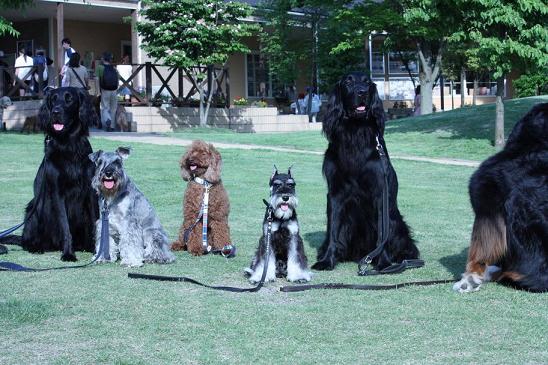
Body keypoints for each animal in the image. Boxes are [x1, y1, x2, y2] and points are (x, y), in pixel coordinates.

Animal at [1, 87, 98, 258]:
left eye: (69, 99)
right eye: (53, 99)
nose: (55, 112)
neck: (69, 145)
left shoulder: (90, 192)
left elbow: (94, 223)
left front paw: (97, 250)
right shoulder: (58, 193)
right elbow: (65, 226)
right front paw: (68, 254)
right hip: (34, 208)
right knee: (26, 241)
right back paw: (36, 247)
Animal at [312, 71, 420, 270]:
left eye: (368, 82)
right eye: (348, 82)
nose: (362, 92)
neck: (355, 131)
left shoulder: (379, 192)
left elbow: (382, 233)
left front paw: (384, 262)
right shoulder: (335, 193)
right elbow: (333, 230)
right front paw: (327, 260)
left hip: (397, 222)